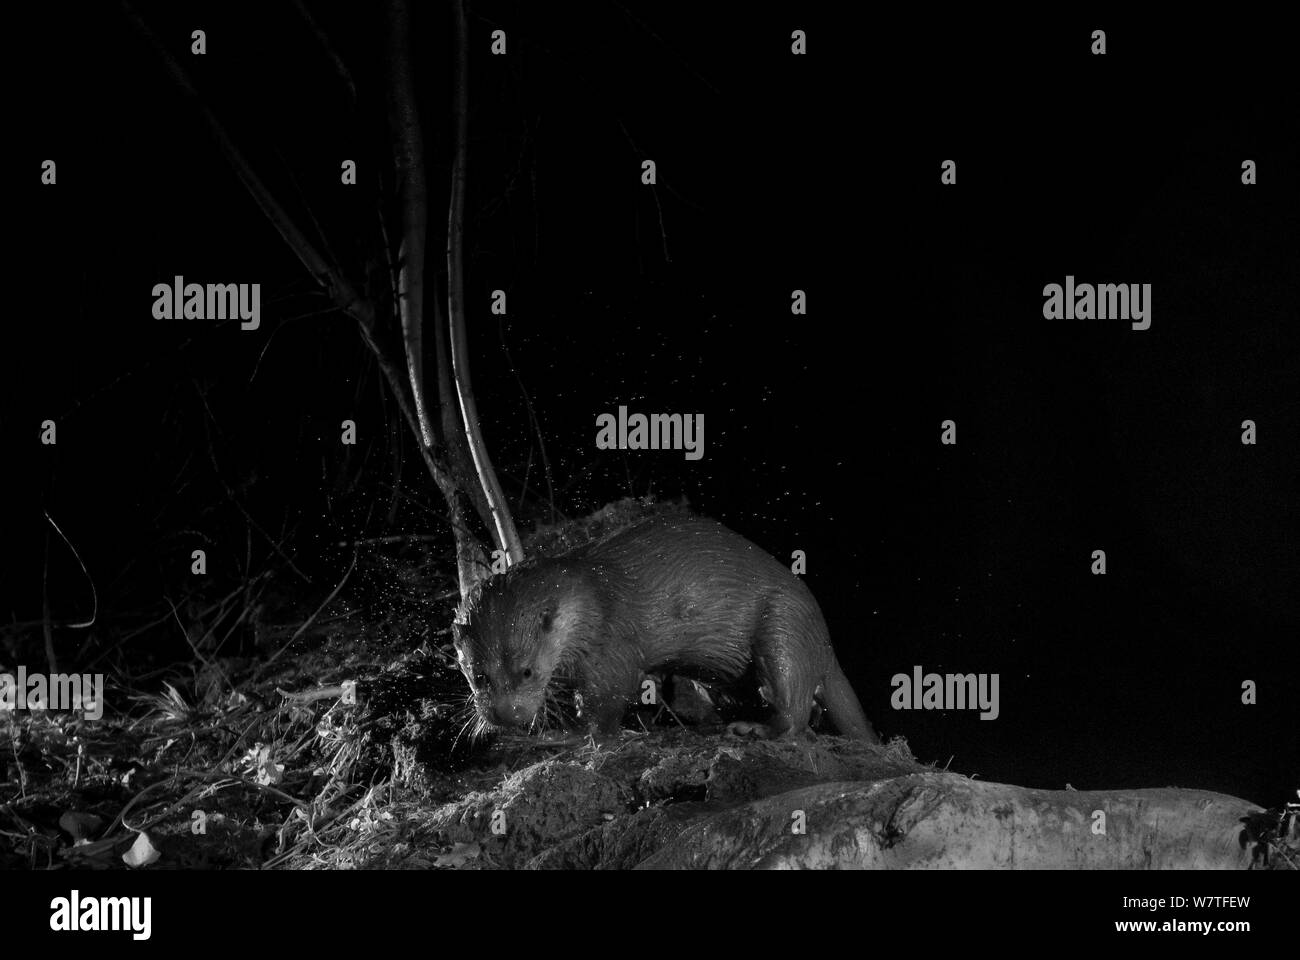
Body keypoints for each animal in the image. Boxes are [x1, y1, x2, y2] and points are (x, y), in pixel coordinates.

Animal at [452, 515, 878, 738]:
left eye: (527, 671)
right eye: (478, 676)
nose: (507, 716)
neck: (590, 602)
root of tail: (824, 641)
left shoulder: (613, 643)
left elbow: (608, 698)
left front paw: (583, 739)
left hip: (784, 625)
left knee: (793, 704)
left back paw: (756, 728)